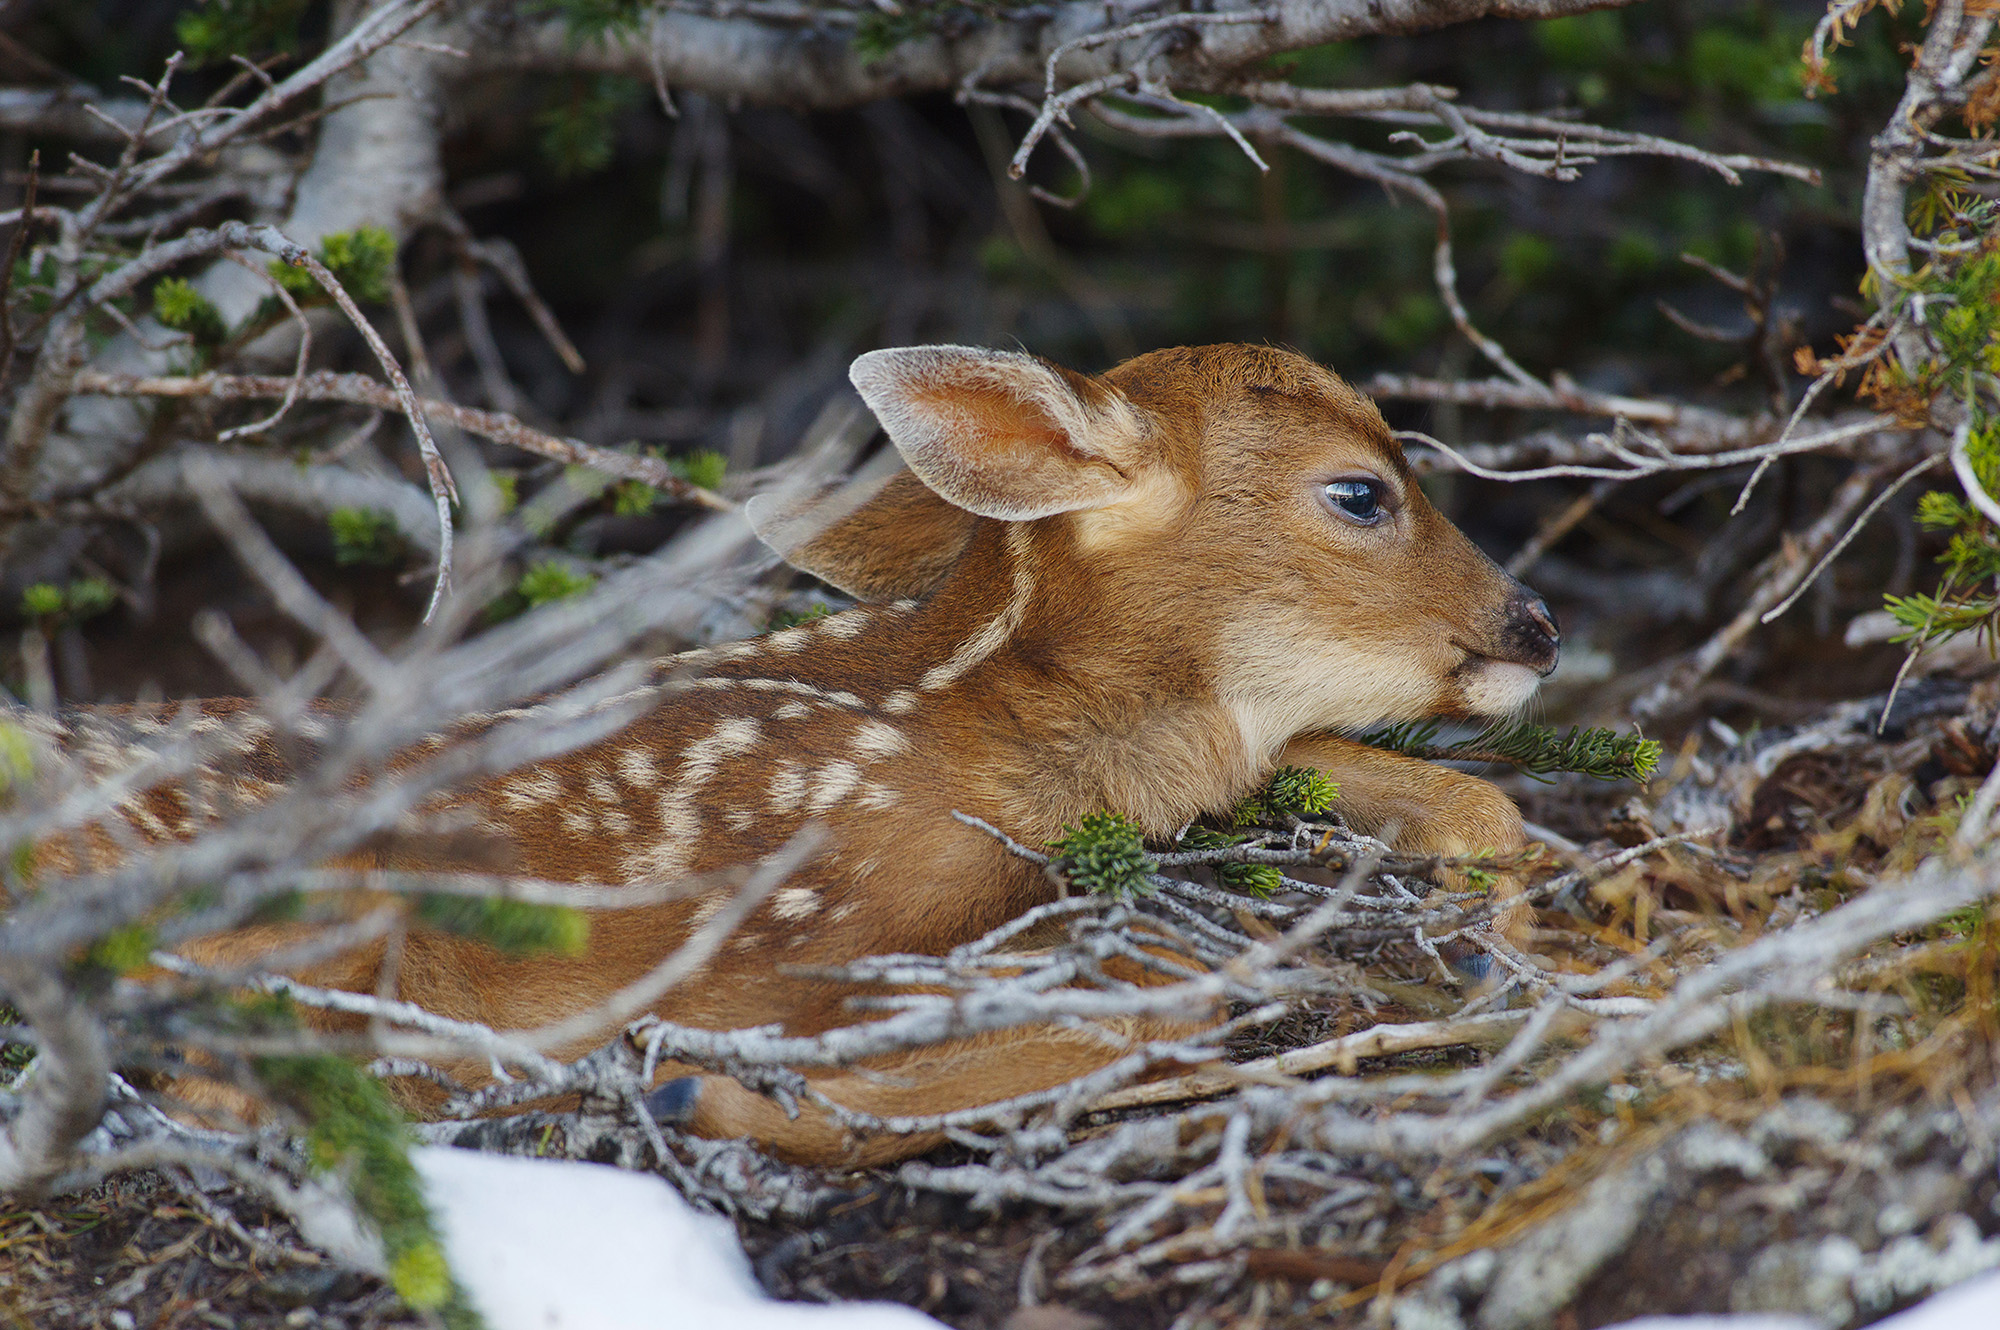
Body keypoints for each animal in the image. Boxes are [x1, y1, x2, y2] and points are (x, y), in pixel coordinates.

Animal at [27, 340, 1560, 1160]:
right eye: (1359, 493)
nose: (1534, 624)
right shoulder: (805, 920)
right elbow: (1153, 1000)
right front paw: (719, 1089)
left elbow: (1458, 805)